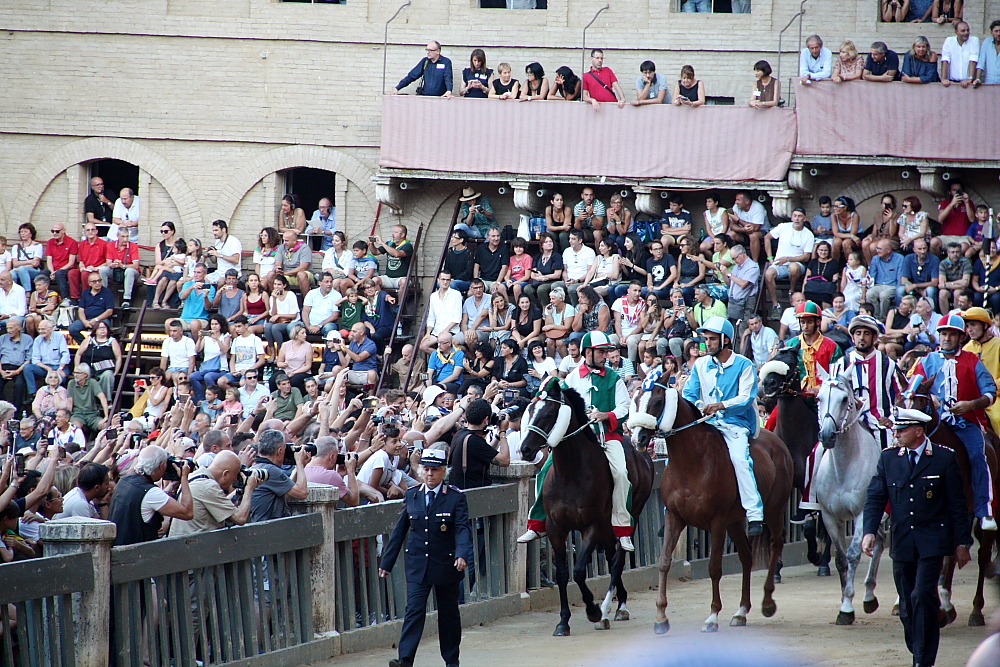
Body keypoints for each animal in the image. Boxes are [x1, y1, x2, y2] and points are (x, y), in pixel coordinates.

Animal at [516, 380, 656, 636]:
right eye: (529, 410)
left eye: (549, 414)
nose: (525, 450)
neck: (571, 473)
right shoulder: (556, 528)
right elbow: (562, 574)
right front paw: (563, 621)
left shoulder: (593, 525)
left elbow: (580, 571)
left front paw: (593, 610)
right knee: (611, 555)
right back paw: (617, 604)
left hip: (629, 514)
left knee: (618, 557)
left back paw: (611, 609)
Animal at [628, 380, 792, 632]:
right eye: (635, 399)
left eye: (657, 401)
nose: (638, 438)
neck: (692, 462)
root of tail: (777, 442)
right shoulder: (674, 517)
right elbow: (664, 562)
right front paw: (661, 617)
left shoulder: (717, 522)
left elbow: (714, 567)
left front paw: (713, 616)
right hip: (735, 521)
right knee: (746, 556)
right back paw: (741, 611)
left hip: (773, 510)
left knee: (776, 544)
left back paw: (767, 602)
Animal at [760, 344, 832, 576]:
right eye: (773, 358)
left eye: (790, 363)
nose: (768, 384)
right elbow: (777, 527)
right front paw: (775, 568)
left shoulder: (810, 485)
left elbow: (809, 525)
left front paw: (815, 556)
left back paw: (824, 562)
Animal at [816, 370, 888, 628]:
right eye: (818, 398)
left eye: (844, 399)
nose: (827, 435)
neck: (843, 467)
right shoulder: (829, 516)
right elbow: (840, 559)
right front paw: (844, 601)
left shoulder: (861, 513)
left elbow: (854, 553)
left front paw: (847, 606)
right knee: (879, 541)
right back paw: (869, 596)